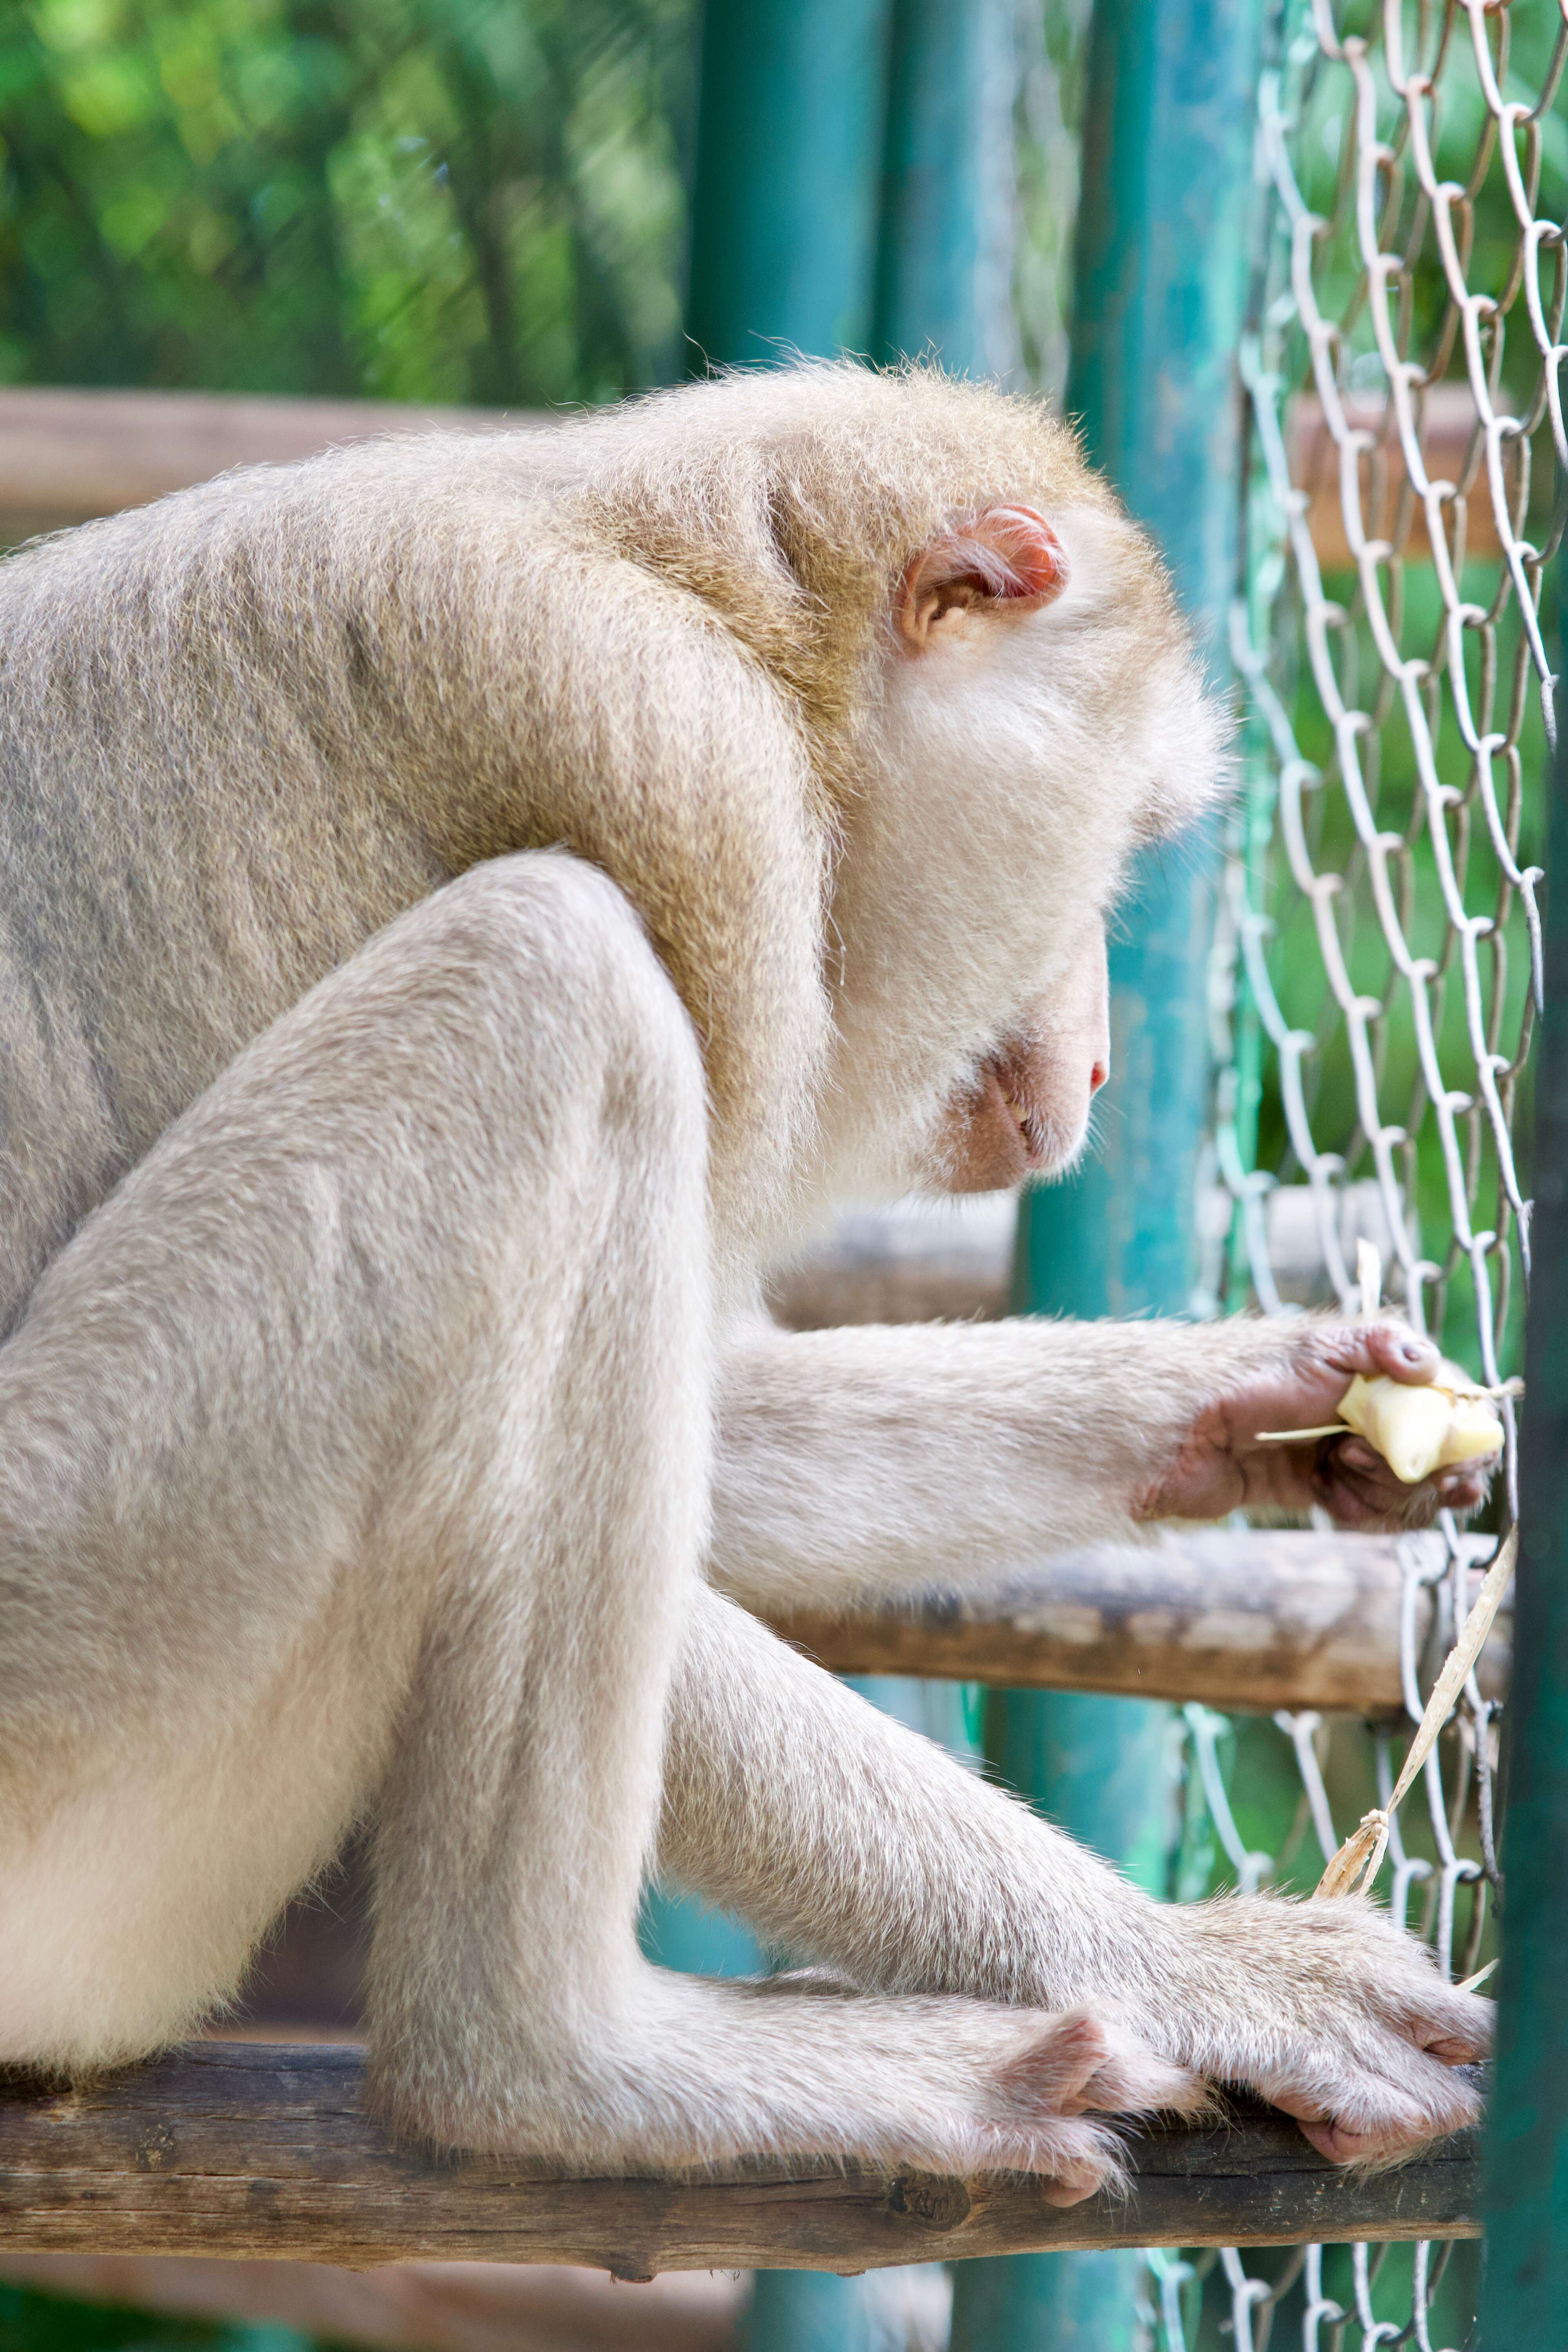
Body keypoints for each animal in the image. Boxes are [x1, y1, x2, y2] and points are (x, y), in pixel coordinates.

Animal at [0, 362, 1495, 2183]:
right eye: (1123, 837)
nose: (1092, 1059)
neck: (721, 601)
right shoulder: (688, 788)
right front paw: (1198, 1969)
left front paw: (1259, 1404)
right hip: (71, 1640)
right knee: (549, 981)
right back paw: (553, 2064)